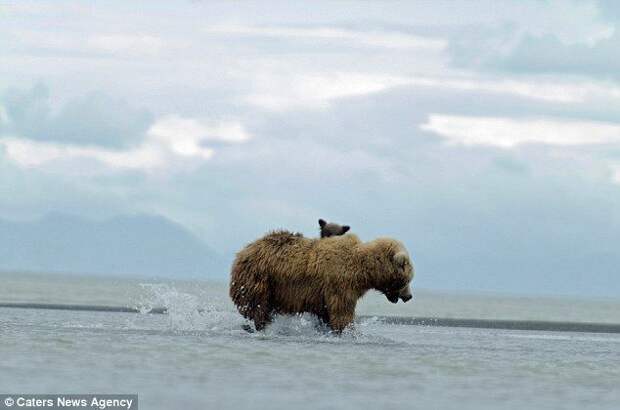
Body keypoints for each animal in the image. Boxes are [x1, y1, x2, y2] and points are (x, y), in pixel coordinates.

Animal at [230, 231, 414, 334]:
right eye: (408, 279)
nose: (409, 296)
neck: (363, 271)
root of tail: (242, 252)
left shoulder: (324, 295)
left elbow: (326, 314)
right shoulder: (340, 284)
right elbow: (342, 313)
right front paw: (347, 330)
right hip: (260, 279)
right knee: (258, 307)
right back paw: (260, 325)